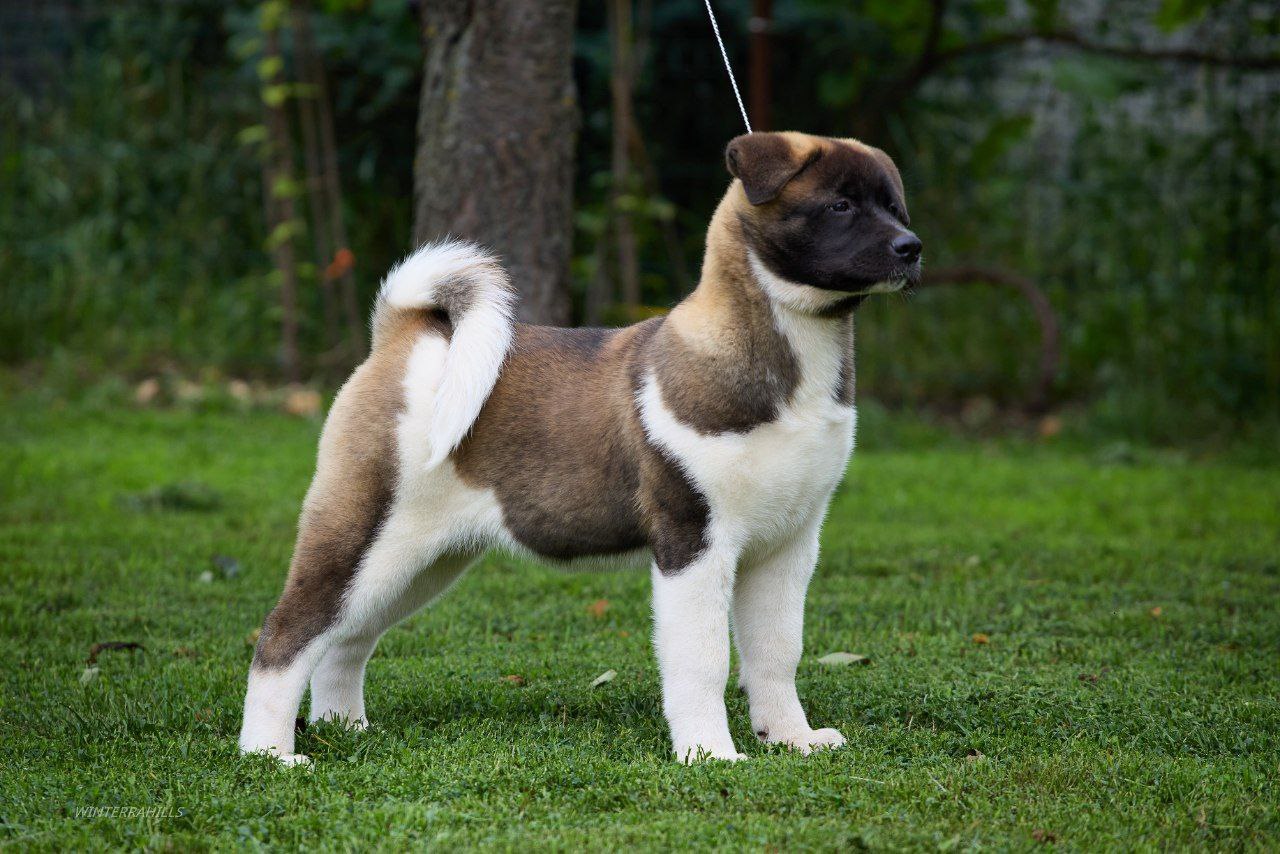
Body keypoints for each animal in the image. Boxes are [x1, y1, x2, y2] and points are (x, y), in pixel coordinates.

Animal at [239, 131, 921, 765]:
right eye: (839, 205)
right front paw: (709, 754)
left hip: (420, 559)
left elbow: (777, 652)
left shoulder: (787, 547)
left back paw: (344, 727)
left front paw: (792, 738)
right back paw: (270, 752)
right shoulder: (694, 544)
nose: (911, 248)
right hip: (362, 533)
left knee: (348, 639)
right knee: (287, 634)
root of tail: (402, 338)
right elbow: (703, 659)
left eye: (895, 207)